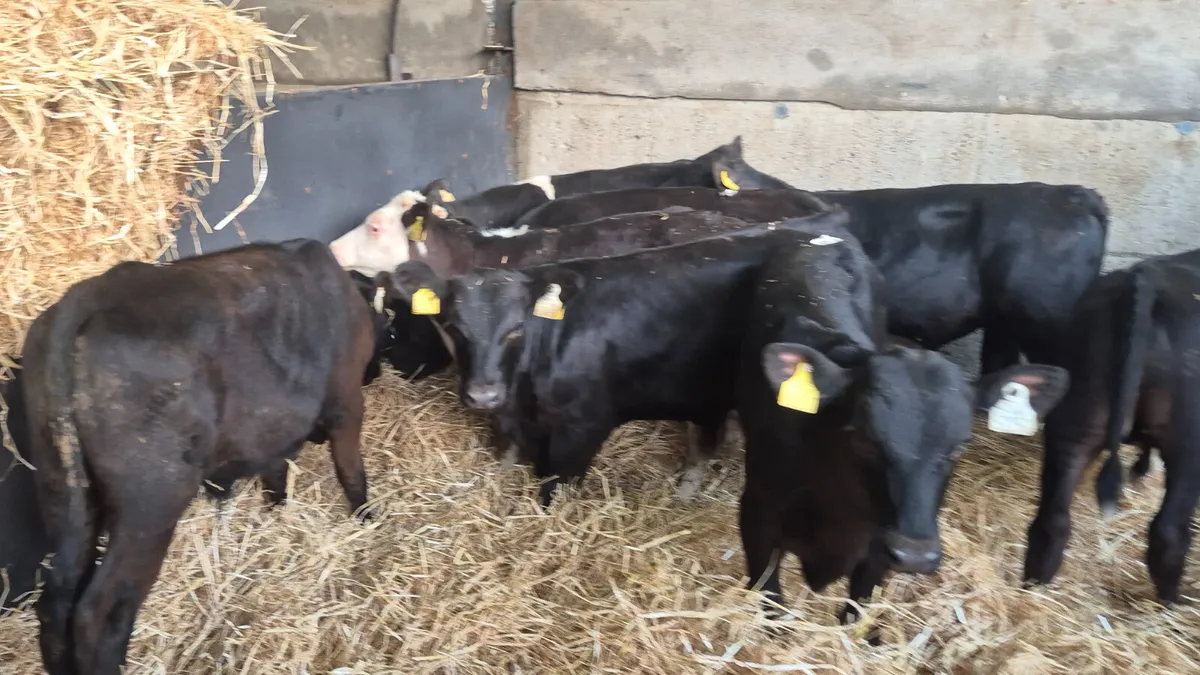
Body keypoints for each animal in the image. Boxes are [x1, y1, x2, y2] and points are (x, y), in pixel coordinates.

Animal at [21, 239, 378, 675]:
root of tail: (85, 298)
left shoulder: (271, 431)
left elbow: (275, 473)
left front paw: (276, 511)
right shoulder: (346, 404)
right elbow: (351, 471)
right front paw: (366, 518)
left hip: (64, 491)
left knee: (58, 602)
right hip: (150, 505)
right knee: (99, 610)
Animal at [736, 234, 1069, 635]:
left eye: (960, 446)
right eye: (864, 439)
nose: (914, 556)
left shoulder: (876, 548)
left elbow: (859, 612)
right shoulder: (756, 518)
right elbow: (772, 607)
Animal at [1023, 248, 1200, 604]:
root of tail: (1145, 279)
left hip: (1074, 420)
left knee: (1051, 521)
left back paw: (1035, 587)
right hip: (1190, 438)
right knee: (1169, 531)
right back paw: (1172, 602)